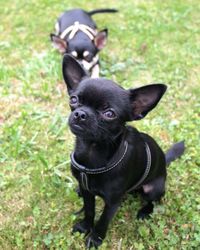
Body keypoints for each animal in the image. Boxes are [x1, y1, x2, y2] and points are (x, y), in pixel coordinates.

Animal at [62, 54, 184, 248]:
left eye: (109, 114)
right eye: (73, 100)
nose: (81, 114)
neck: (91, 150)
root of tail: (164, 161)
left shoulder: (112, 203)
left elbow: (103, 220)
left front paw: (95, 238)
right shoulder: (88, 193)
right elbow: (89, 211)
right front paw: (84, 227)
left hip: (154, 188)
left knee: (154, 200)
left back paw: (145, 211)